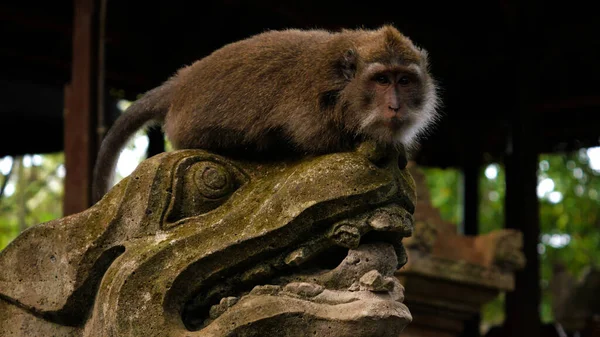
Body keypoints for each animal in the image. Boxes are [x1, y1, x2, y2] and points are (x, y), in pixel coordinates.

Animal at [94, 25, 440, 202]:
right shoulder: (312, 108)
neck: (342, 88)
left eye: (404, 81)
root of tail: (182, 81)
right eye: (382, 80)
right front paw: (378, 146)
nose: (395, 105)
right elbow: (318, 142)